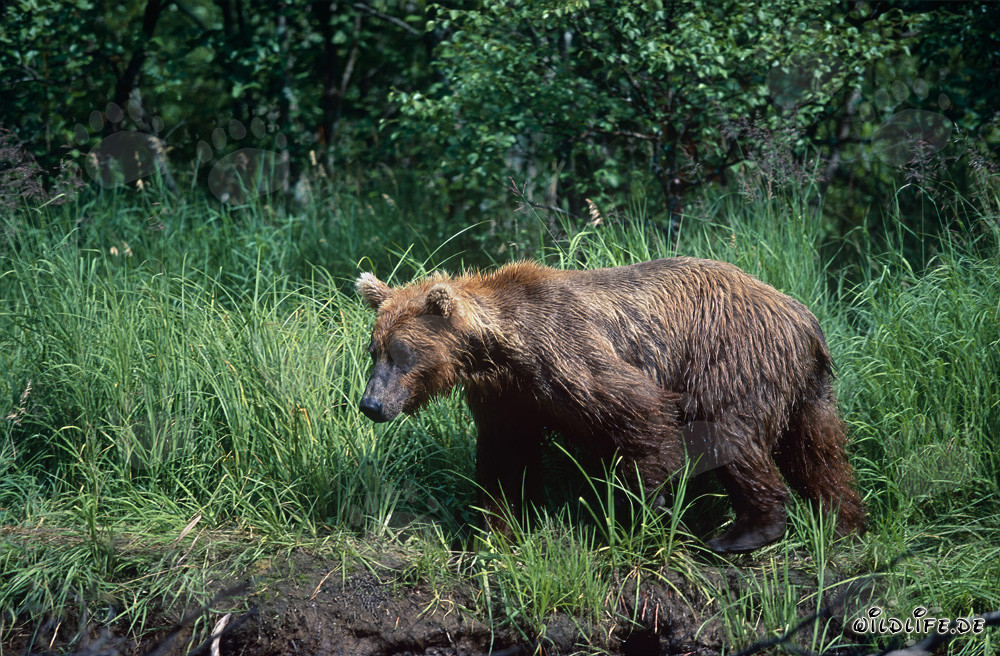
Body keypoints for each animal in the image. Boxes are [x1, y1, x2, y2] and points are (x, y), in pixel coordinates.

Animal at [356, 258, 866, 553]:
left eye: (401, 352)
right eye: (373, 349)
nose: (371, 404)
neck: (501, 346)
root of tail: (804, 318)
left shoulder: (567, 352)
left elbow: (640, 413)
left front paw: (642, 512)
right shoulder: (509, 396)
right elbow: (504, 458)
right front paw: (495, 529)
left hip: (731, 354)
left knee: (729, 433)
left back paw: (743, 532)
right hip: (806, 385)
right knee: (818, 450)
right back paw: (842, 521)